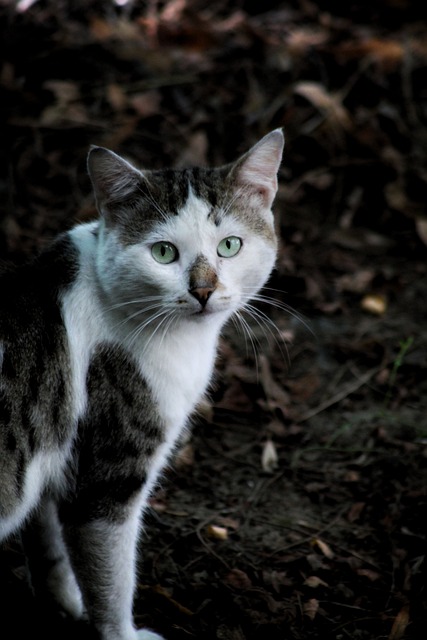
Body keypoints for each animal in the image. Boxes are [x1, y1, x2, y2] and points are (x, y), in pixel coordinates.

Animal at [0, 127, 288, 636]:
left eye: (229, 246)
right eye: (163, 252)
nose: (203, 289)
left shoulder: (54, 458)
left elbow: (47, 541)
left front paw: (62, 604)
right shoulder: (107, 479)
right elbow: (110, 577)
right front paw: (121, 633)